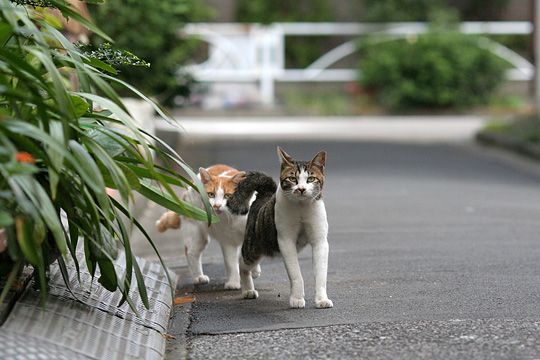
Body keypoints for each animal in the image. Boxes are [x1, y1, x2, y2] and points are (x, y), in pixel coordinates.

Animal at [228, 148, 334, 308]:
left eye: (310, 179)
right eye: (292, 179)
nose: (301, 189)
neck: (301, 208)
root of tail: (264, 195)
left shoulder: (320, 241)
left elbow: (321, 274)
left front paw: (321, 299)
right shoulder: (286, 241)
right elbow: (296, 273)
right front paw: (297, 298)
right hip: (254, 248)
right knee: (242, 263)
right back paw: (248, 290)